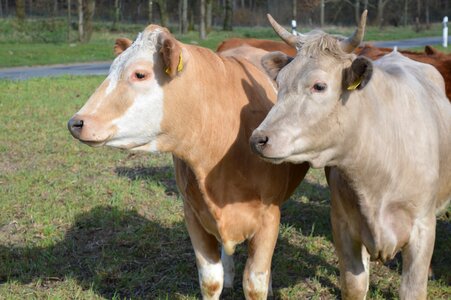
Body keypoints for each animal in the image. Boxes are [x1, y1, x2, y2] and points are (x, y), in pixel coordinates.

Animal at [67, 24, 308, 298]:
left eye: (140, 74)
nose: (77, 122)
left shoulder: (269, 216)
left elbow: (254, 283)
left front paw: (264, 285)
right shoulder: (193, 214)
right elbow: (210, 280)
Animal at [251, 10, 451, 298]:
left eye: (319, 86)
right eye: (279, 82)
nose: (259, 139)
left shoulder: (422, 229)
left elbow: (412, 289)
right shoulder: (343, 225)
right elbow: (355, 285)